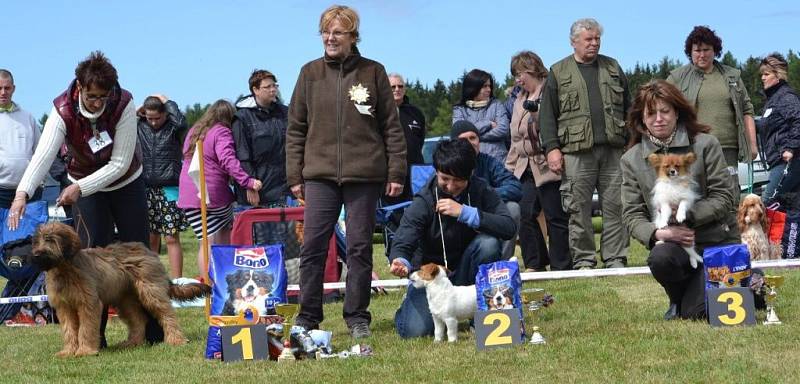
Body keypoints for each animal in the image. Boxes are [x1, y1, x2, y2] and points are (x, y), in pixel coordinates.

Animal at [32, 222, 211, 356]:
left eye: (50, 239)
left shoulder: (88, 303)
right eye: (37, 240)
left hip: (150, 291)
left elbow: (86, 328)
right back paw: (132, 343)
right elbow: (69, 329)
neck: (64, 269)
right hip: (126, 299)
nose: (36, 254)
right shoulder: (64, 306)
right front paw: (68, 352)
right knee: (139, 320)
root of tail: (150, 252)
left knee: (167, 314)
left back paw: (176, 339)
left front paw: (85, 351)